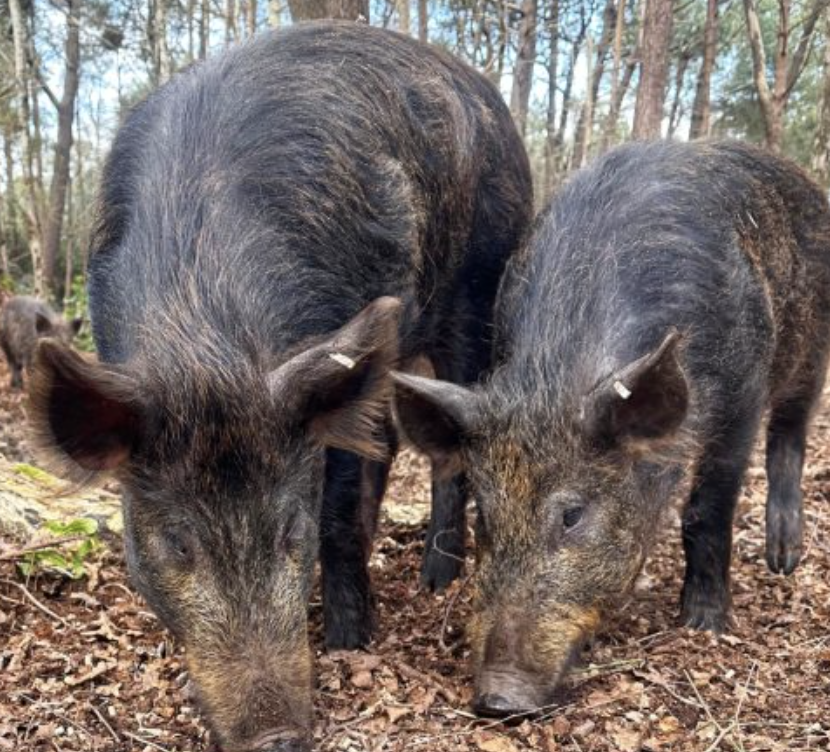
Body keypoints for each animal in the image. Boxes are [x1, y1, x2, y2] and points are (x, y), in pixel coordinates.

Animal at [28, 21, 532, 752]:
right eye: (177, 542)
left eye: (289, 527)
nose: (277, 737)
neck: (205, 340)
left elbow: (337, 514)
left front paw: (351, 641)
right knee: (388, 440)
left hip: (479, 288)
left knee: (449, 447)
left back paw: (437, 581)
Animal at [394, 140, 830, 716]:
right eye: (485, 515)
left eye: (572, 515)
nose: (497, 698)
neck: (560, 374)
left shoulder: (743, 393)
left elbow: (706, 512)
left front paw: (704, 625)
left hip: (812, 350)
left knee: (790, 435)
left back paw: (782, 558)